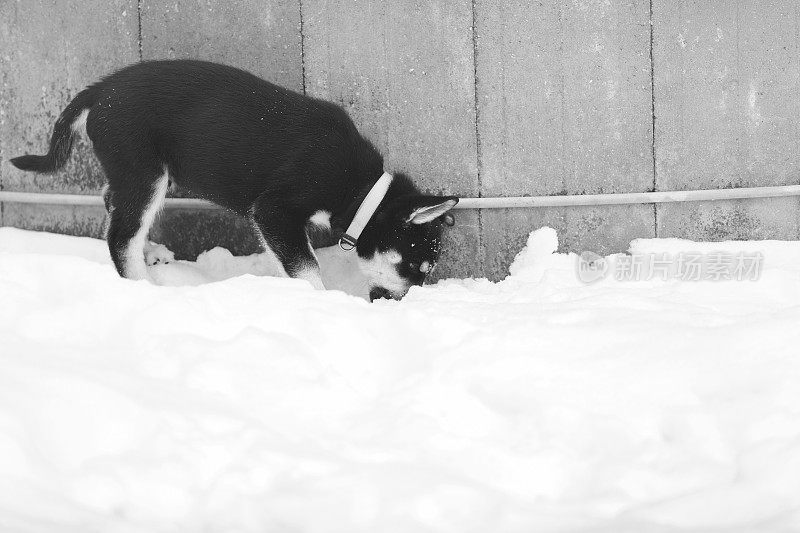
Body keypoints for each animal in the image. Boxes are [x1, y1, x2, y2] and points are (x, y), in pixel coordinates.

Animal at [12, 59, 460, 300]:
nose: (399, 304)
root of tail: (100, 89)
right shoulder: (275, 211)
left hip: (134, 174)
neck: (360, 191)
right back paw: (145, 287)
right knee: (122, 235)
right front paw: (319, 301)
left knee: (115, 206)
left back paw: (151, 251)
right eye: (415, 267)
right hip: (144, 172)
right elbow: (306, 267)